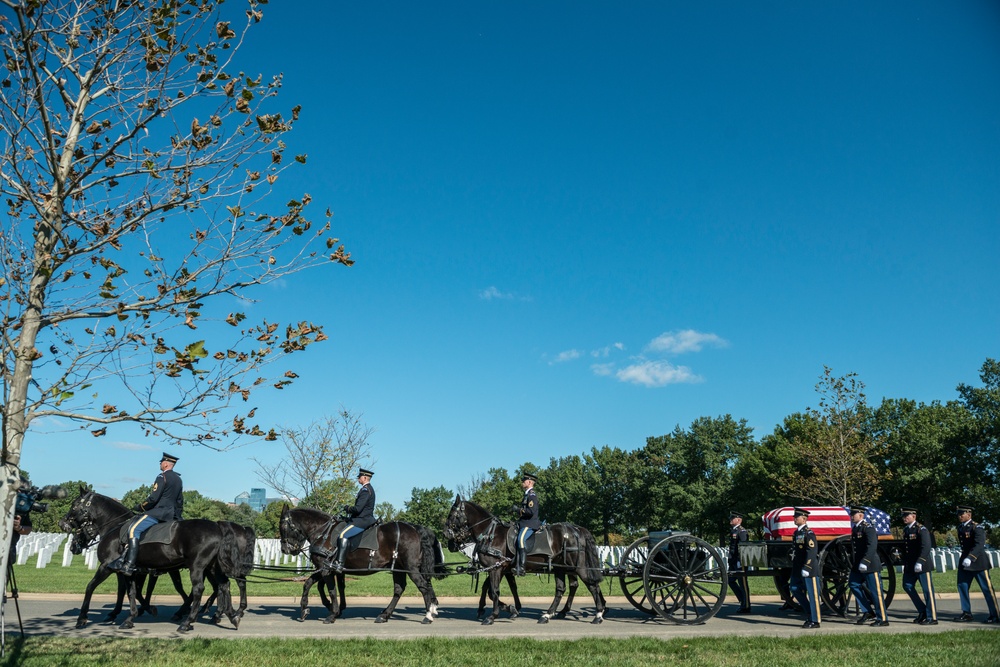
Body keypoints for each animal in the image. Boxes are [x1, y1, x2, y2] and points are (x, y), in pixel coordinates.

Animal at [61, 486, 243, 632]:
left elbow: (91, 587)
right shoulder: (129, 571)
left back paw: (188, 620)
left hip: (197, 567)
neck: (114, 527)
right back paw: (230, 615)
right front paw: (129, 616)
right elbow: (130, 591)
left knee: (199, 589)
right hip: (212, 567)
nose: (63, 524)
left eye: (74, 504)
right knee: (223, 585)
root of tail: (217, 527)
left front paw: (82, 618)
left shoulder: (107, 567)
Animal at [278, 508, 442, 624]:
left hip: (411, 568)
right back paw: (384, 615)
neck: (323, 532)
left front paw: (332, 614)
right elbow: (308, 584)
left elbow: (331, 590)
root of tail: (413, 528)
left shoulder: (326, 570)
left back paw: (428, 615)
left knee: (423, 587)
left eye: (283, 526)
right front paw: (304, 609)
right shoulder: (324, 568)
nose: (285, 550)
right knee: (400, 589)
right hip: (399, 568)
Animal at [448, 496, 608, 628]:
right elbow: (490, 589)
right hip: (560, 568)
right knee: (562, 589)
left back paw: (598, 615)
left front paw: (493, 616)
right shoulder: (500, 568)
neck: (490, 534)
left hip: (578, 567)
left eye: (452, 516)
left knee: (592, 585)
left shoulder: (495, 569)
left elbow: (493, 591)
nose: (449, 542)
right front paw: (509, 609)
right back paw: (548, 614)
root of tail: (577, 529)